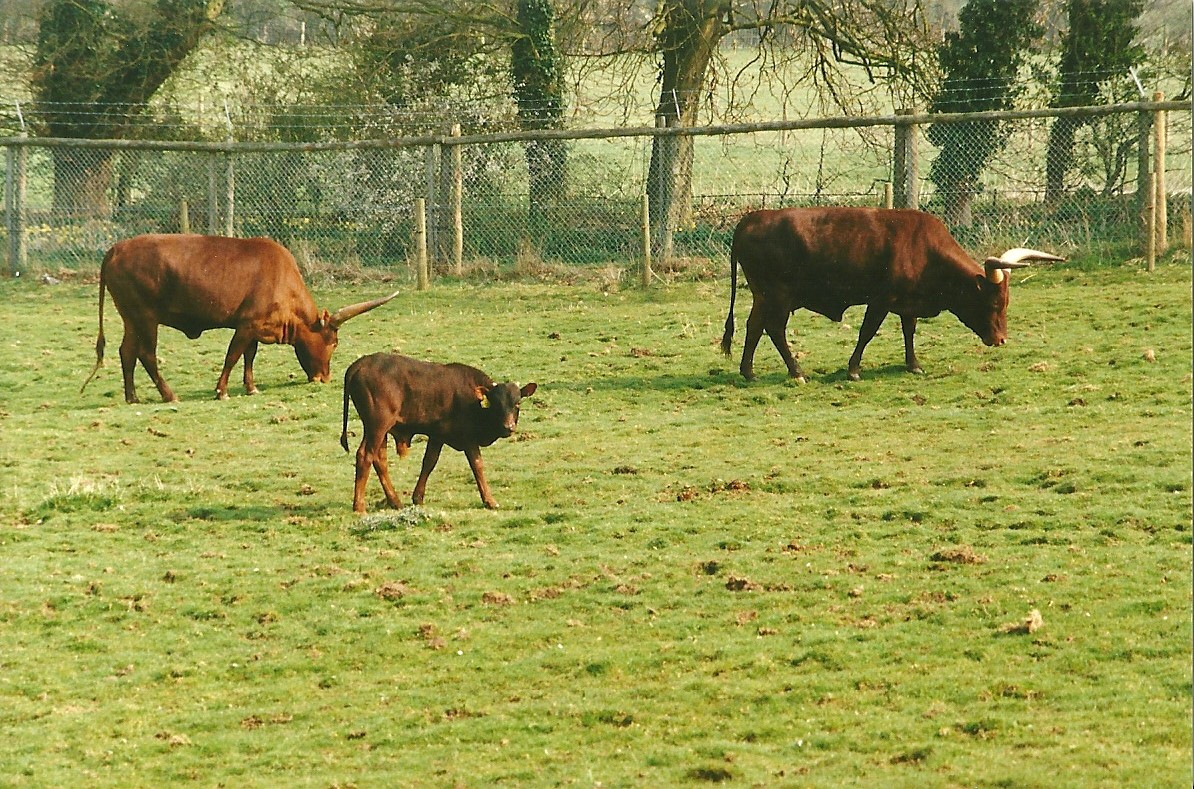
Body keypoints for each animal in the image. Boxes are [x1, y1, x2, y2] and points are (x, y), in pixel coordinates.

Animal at [80, 234, 400, 402]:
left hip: (131, 318)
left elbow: (249, 356)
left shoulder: (256, 328)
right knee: (146, 353)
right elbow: (233, 355)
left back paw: (132, 396)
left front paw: (250, 386)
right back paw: (169, 394)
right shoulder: (246, 325)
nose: (324, 378)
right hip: (145, 317)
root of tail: (116, 248)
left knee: (127, 352)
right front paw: (221, 390)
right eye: (333, 342)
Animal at [340, 352, 537, 512]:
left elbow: (429, 462)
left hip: (380, 430)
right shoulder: (468, 439)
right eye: (496, 404)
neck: (473, 401)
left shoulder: (437, 435)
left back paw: (395, 501)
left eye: (517, 403)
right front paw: (490, 501)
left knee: (379, 460)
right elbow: (477, 465)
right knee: (365, 456)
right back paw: (359, 506)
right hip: (377, 426)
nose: (508, 427)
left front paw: (418, 497)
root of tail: (362, 363)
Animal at [721, 207, 1064, 382]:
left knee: (754, 327)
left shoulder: (907, 303)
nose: (1000, 340)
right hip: (777, 296)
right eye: (992, 302)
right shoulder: (880, 300)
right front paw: (853, 369)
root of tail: (749, 219)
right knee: (774, 329)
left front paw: (913, 364)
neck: (925, 249)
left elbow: (909, 330)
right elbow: (867, 332)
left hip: (763, 296)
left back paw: (748, 372)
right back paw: (796, 372)